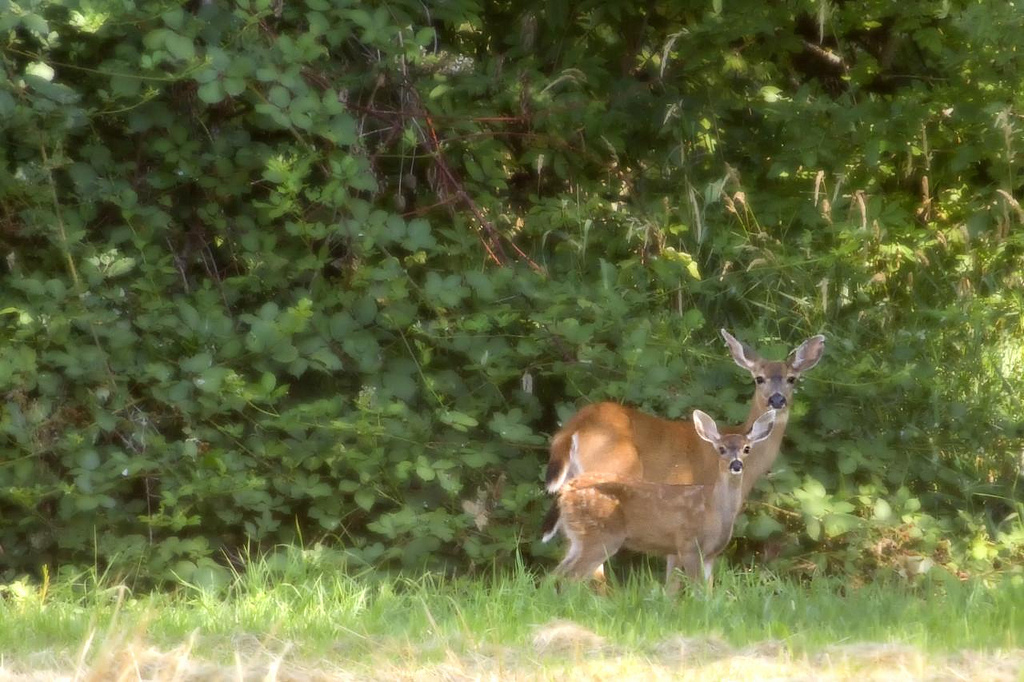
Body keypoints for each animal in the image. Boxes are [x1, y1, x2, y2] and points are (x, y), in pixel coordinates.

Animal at [552, 409, 777, 593]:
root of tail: (566, 492)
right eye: (721, 449)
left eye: (747, 448)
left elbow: (707, 591)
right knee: (571, 576)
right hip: (600, 536)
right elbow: (696, 590)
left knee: (556, 573)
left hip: (578, 537)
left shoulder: (710, 554)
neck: (714, 510)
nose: (736, 465)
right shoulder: (688, 545)